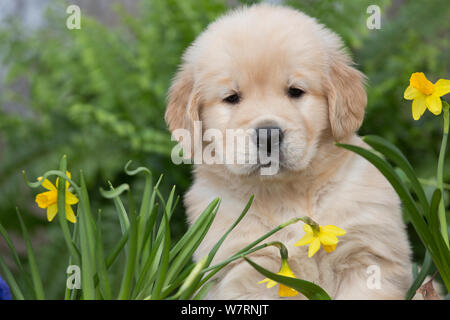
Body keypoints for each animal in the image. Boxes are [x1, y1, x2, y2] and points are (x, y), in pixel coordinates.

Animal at [164, 3, 412, 300]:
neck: (285, 195)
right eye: (232, 98)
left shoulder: (367, 256)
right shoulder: (246, 268)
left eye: (295, 91)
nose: (268, 134)